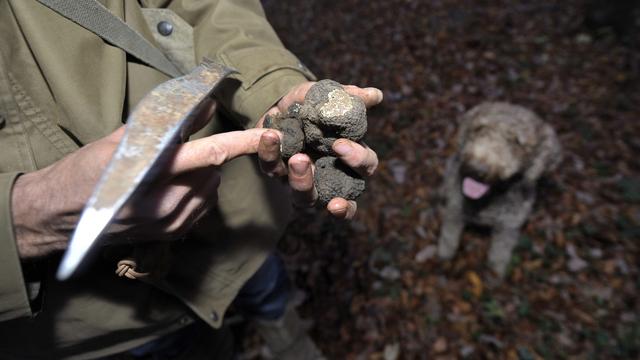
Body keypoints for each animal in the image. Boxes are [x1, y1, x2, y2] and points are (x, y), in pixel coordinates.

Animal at [440, 102, 560, 278]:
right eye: (479, 128)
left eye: (517, 141)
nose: (477, 169)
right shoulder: (455, 211)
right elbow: (449, 236)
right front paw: (444, 254)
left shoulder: (508, 227)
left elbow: (500, 252)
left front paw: (496, 272)